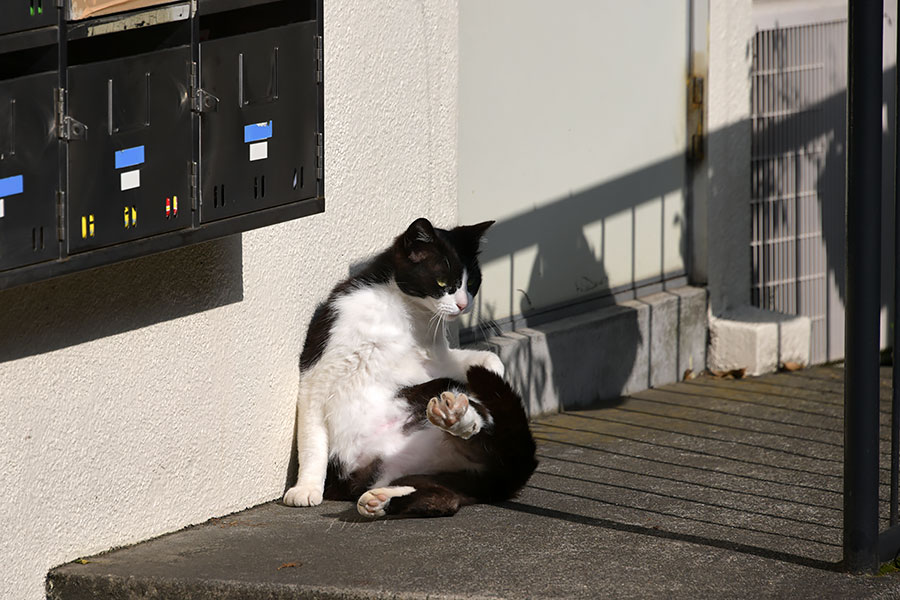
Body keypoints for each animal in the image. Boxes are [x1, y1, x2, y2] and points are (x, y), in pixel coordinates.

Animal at [284, 218, 536, 516]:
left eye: (472, 282)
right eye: (442, 282)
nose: (464, 305)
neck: (404, 311)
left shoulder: (434, 360)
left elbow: (487, 360)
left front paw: (492, 371)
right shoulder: (321, 371)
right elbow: (312, 440)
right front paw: (306, 489)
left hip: (435, 394)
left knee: (478, 433)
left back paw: (456, 417)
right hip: (423, 475)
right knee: (441, 497)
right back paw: (380, 499)